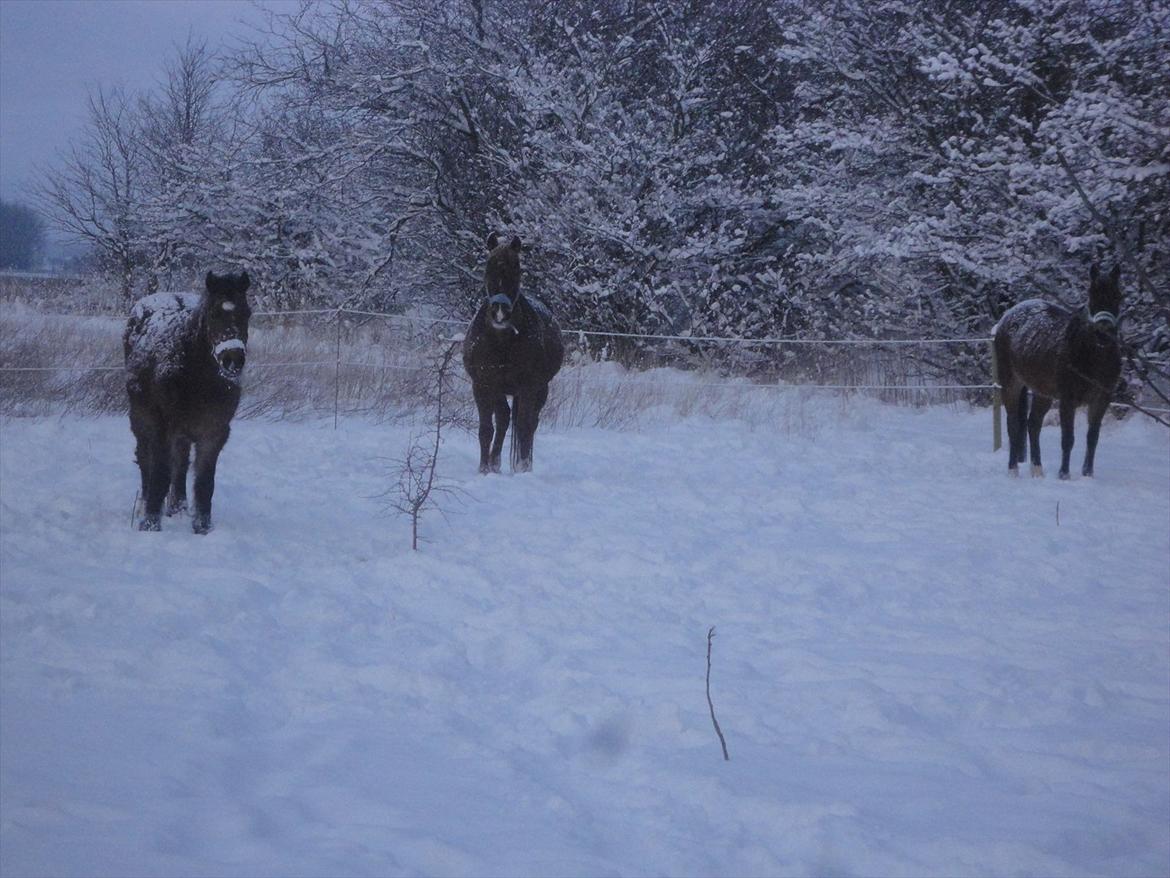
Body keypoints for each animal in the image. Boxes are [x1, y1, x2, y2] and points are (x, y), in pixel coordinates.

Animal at [123, 268, 251, 533]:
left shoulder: (213, 433)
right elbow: (160, 473)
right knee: (145, 459)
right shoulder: (162, 427)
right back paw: (145, 505)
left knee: (181, 463)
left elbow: (204, 481)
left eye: (247, 313)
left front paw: (202, 527)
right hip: (142, 419)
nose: (233, 360)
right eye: (213, 313)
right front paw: (150, 524)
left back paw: (178, 507)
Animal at [460, 234, 561, 475]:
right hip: (500, 390)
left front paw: (522, 468)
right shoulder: (483, 384)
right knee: (504, 419)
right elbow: (486, 428)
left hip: (540, 390)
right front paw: (484, 469)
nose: (499, 311)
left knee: (530, 424)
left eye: (517, 268)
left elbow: (524, 427)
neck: (502, 342)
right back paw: (495, 463)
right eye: (488, 266)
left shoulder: (528, 387)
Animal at [996, 263, 1123, 482]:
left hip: (1042, 393)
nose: (1103, 333)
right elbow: (1068, 438)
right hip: (1010, 383)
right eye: (1092, 295)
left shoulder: (1102, 399)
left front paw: (1087, 474)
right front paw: (1064, 474)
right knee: (1013, 424)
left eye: (1117, 296)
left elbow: (1092, 437)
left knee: (1033, 424)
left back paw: (1037, 470)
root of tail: (1007, 317)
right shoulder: (1068, 399)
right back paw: (1013, 470)